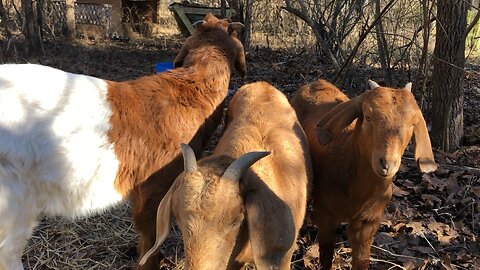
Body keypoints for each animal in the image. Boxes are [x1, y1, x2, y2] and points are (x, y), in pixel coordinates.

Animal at [290, 79, 436, 268]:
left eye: (412, 123)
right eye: (367, 116)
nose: (387, 163)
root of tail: (317, 82)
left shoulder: (369, 220)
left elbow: (361, 259)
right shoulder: (325, 213)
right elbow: (326, 254)